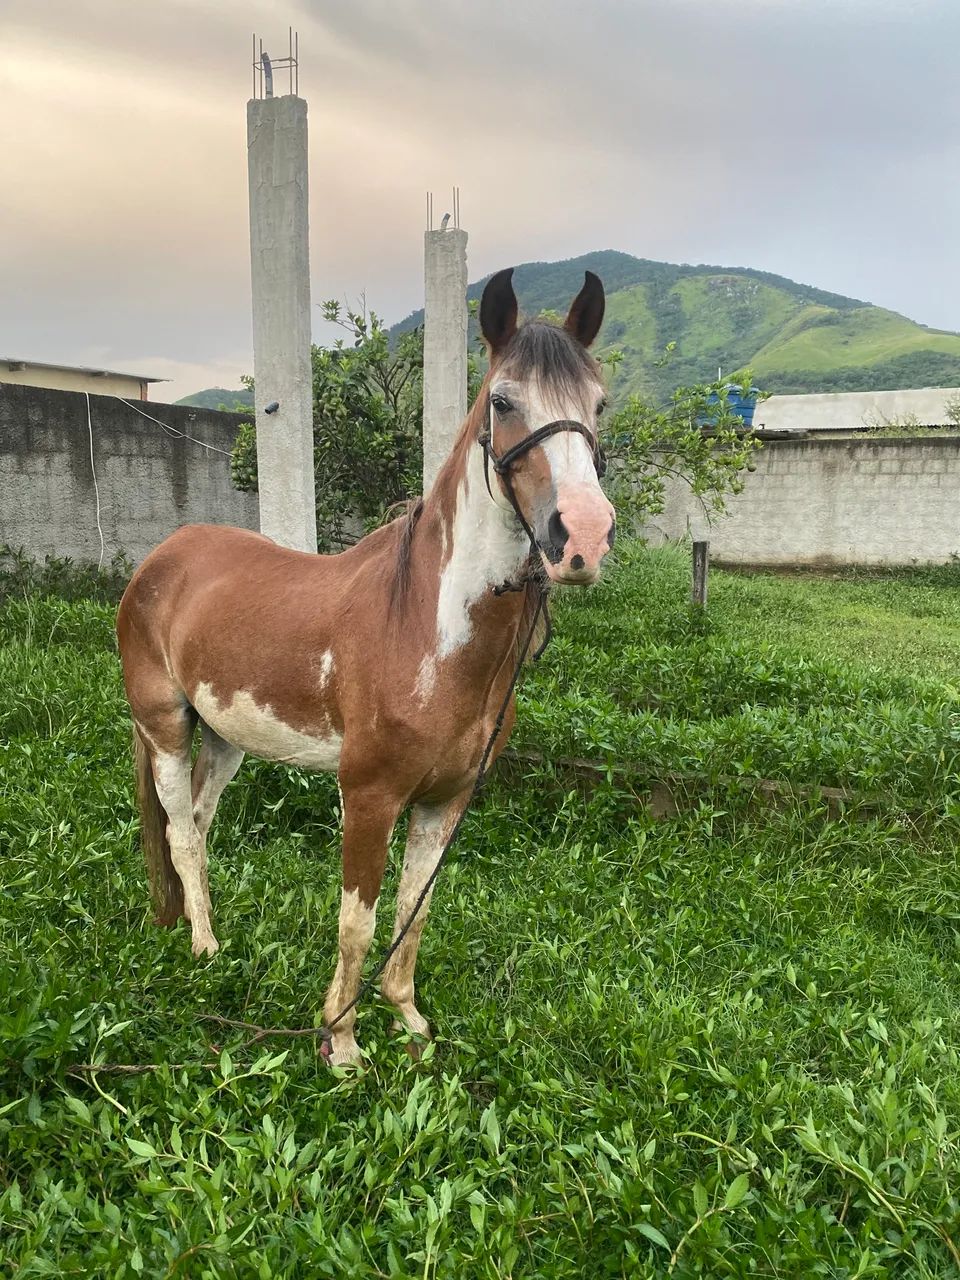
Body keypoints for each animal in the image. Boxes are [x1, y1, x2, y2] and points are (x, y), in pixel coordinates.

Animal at [116, 267, 615, 1066]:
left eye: (598, 403)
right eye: (503, 400)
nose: (585, 539)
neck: (427, 632)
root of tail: (162, 557)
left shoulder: (446, 802)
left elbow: (416, 908)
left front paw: (408, 1019)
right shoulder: (370, 796)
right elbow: (360, 920)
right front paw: (341, 1042)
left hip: (223, 735)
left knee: (194, 818)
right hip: (163, 725)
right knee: (181, 834)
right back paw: (205, 946)